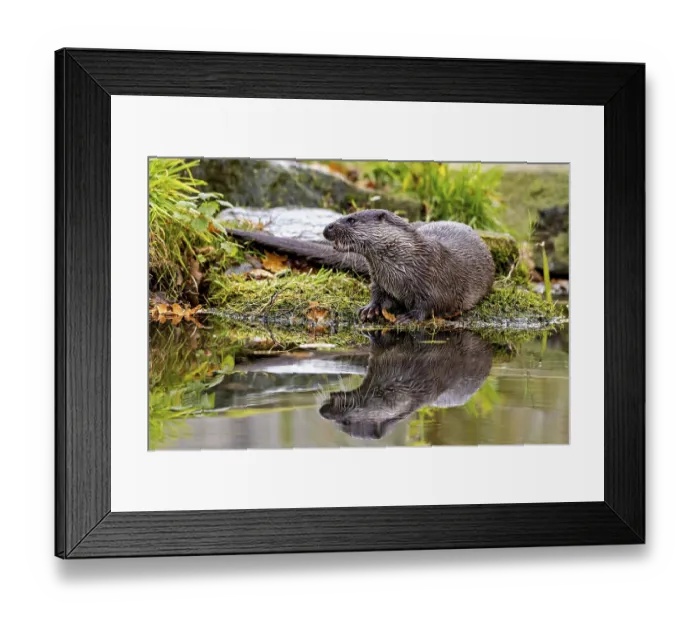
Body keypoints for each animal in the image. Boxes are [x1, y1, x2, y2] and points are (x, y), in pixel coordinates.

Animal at [322, 210, 495, 323]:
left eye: (351, 220)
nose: (326, 228)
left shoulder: (440, 282)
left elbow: (433, 304)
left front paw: (409, 317)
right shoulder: (379, 282)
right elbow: (377, 295)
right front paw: (370, 308)